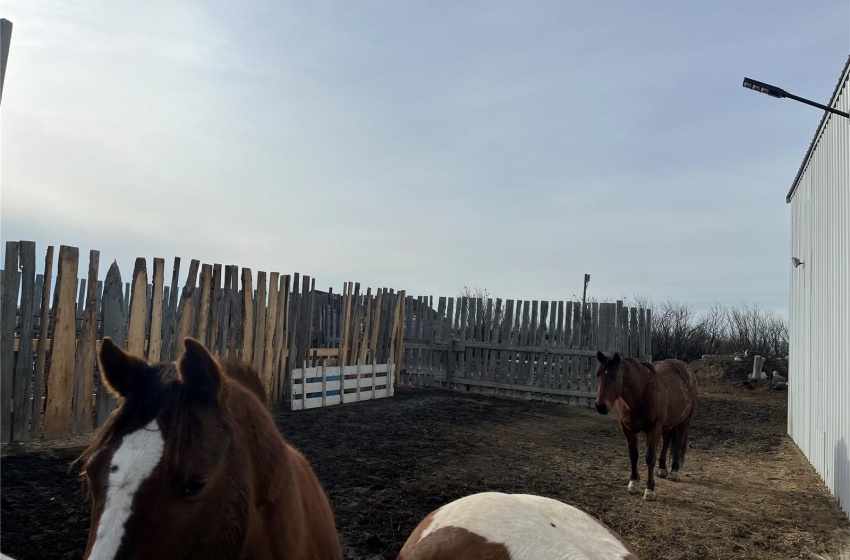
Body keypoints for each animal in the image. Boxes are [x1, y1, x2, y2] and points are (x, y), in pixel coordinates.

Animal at [592, 352, 692, 500]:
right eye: (597, 374)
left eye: (615, 376)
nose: (600, 406)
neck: (641, 394)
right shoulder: (627, 429)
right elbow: (633, 455)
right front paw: (633, 483)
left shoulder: (653, 429)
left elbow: (650, 458)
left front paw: (649, 489)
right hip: (667, 425)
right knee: (667, 440)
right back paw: (662, 468)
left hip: (684, 422)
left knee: (678, 442)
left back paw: (674, 471)